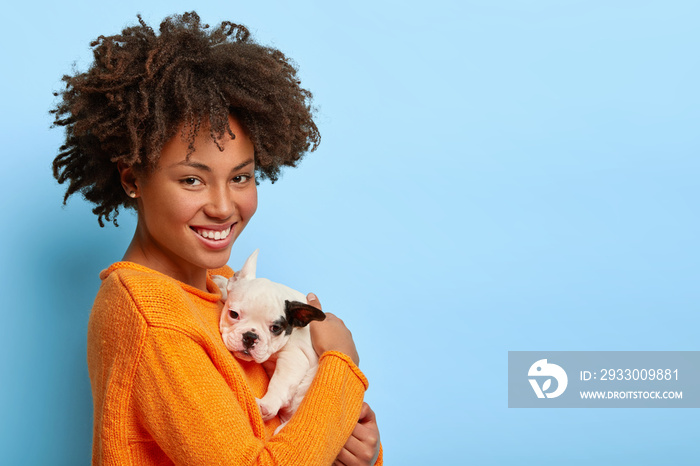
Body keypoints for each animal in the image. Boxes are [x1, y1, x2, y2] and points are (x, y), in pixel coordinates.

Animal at [216, 249, 326, 432]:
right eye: (233, 314)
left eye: (275, 328)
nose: (250, 336)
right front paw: (222, 285)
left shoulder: (295, 358)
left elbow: (280, 382)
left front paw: (267, 404)